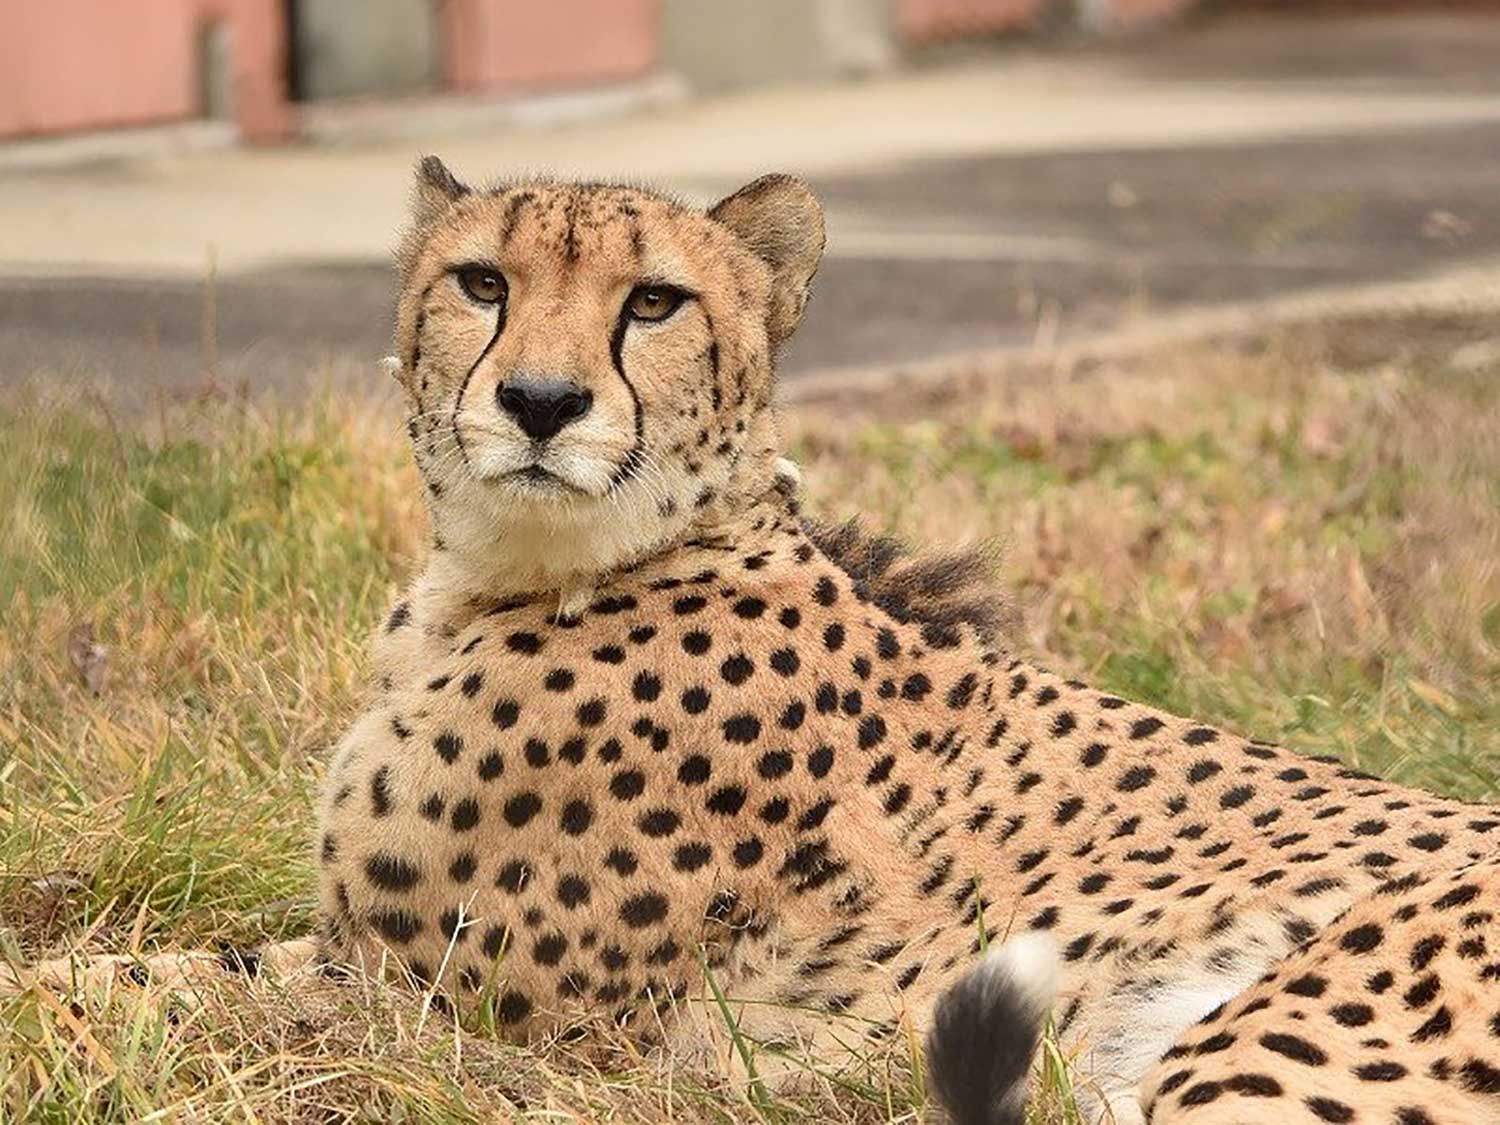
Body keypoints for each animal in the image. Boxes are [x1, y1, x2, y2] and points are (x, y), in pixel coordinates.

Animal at [11, 160, 1500, 1125]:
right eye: (481, 282)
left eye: (654, 303)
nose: (540, 403)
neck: (513, 574)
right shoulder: (357, 953)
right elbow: (158, 965)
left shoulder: (436, 1013)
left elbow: (144, 993)